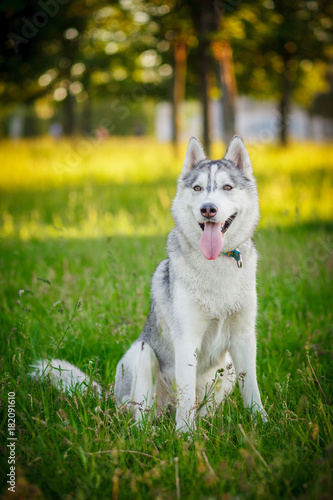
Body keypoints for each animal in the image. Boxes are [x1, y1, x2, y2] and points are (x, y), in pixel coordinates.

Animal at [33, 136, 264, 430]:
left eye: (227, 187)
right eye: (198, 188)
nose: (208, 209)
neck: (216, 265)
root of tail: (112, 395)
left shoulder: (244, 338)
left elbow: (253, 391)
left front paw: (266, 424)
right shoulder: (187, 340)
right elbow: (186, 398)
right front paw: (185, 436)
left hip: (229, 367)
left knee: (204, 409)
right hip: (142, 354)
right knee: (139, 419)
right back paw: (151, 433)